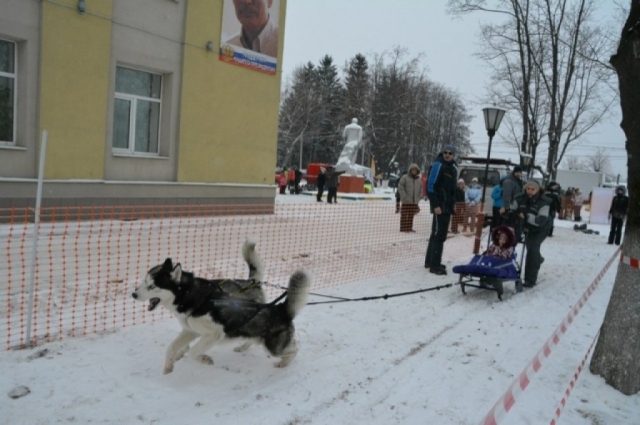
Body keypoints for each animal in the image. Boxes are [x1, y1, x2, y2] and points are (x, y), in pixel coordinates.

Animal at [132, 240, 310, 372]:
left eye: (152, 286)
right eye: (144, 282)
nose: (133, 294)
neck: (190, 296)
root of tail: (280, 308)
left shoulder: (214, 333)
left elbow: (193, 351)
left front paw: (204, 359)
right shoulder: (190, 331)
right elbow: (172, 347)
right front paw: (168, 367)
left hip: (274, 348)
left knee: (295, 349)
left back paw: (283, 363)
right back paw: (244, 347)